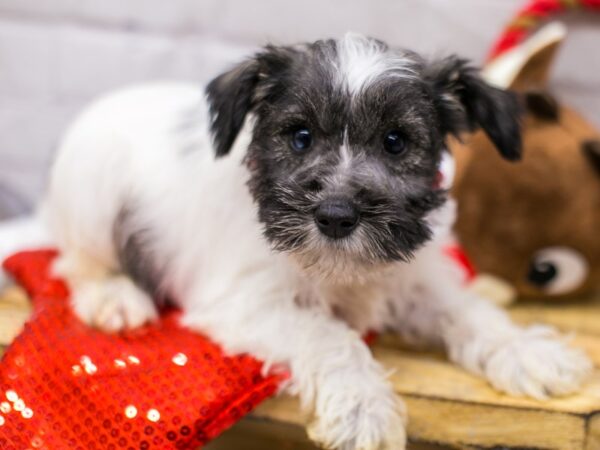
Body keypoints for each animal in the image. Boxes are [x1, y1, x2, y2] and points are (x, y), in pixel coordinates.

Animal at [3, 33, 592, 448]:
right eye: (300, 136)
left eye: (395, 142)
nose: (335, 215)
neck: (339, 269)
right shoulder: (245, 302)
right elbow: (328, 336)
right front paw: (363, 408)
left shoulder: (413, 277)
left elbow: (469, 311)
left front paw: (528, 352)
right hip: (93, 196)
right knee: (72, 262)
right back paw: (115, 298)